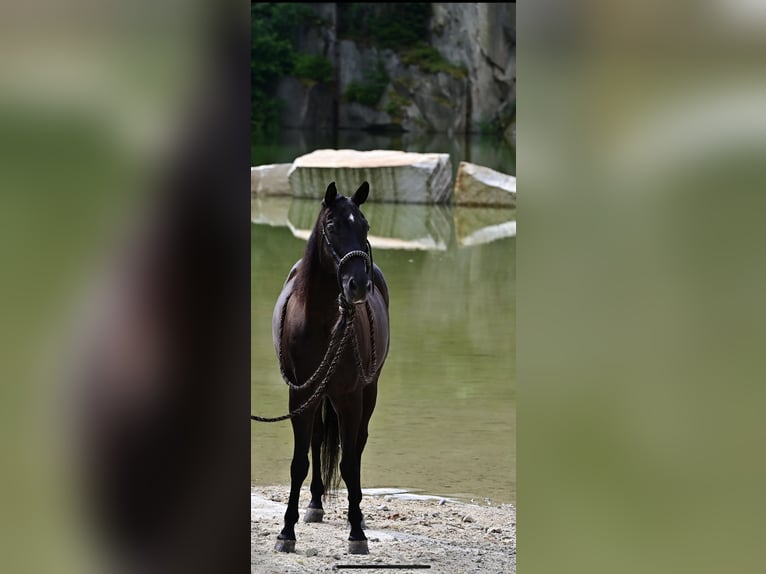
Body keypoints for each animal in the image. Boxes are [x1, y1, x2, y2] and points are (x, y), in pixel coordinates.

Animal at [256, 182, 390, 556]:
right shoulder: (299, 395)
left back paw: (356, 515)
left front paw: (357, 533)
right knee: (317, 441)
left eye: (365, 226)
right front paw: (286, 532)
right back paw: (314, 503)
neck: (318, 322)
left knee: (357, 446)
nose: (358, 285)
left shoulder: (349, 397)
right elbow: (299, 462)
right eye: (331, 226)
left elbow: (349, 461)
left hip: (367, 393)